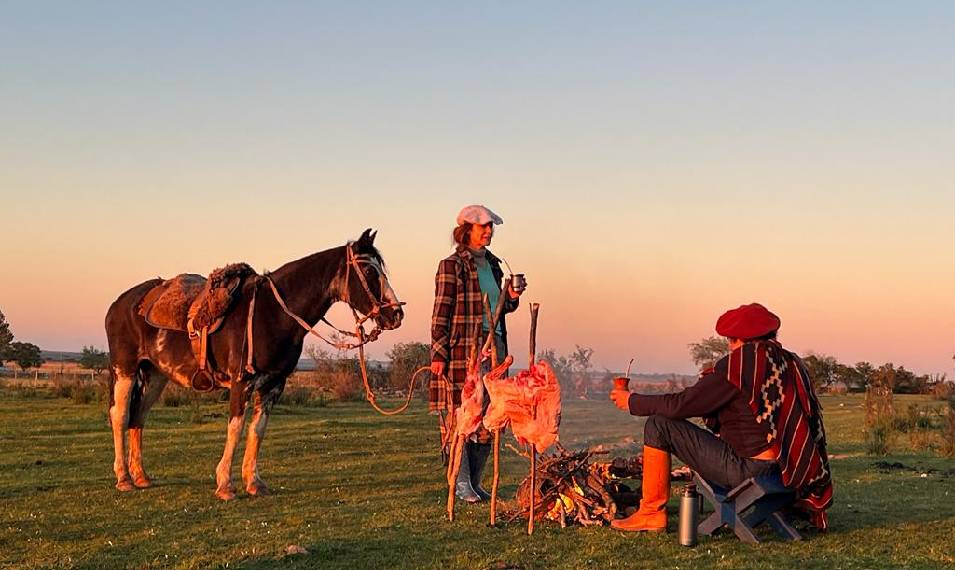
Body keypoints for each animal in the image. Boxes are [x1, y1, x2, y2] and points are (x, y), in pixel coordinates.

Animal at [104, 229, 403, 499]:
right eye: (369, 271)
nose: (396, 314)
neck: (272, 313)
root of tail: (121, 303)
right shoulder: (241, 382)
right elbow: (235, 428)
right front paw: (225, 485)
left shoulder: (274, 385)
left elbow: (257, 430)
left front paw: (254, 483)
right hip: (125, 370)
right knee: (120, 415)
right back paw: (124, 478)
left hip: (155, 375)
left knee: (139, 416)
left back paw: (141, 476)